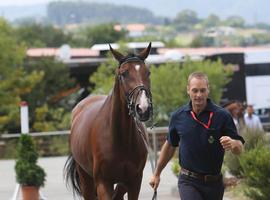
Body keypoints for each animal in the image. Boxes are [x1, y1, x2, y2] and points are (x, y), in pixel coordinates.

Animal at [65, 43, 153, 199]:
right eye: (124, 73)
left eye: (147, 72)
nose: (143, 108)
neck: (119, 139)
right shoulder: (103, 183)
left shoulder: (134, 181)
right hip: (85, 178)